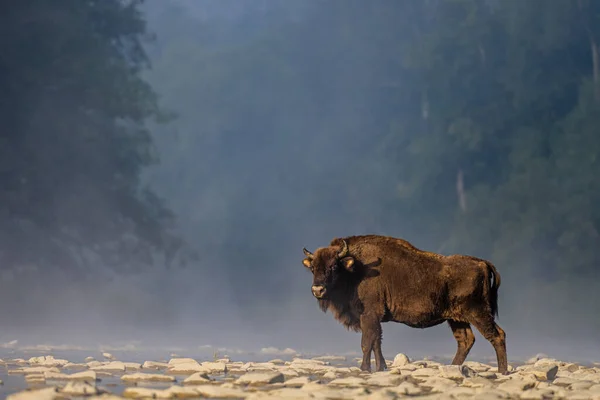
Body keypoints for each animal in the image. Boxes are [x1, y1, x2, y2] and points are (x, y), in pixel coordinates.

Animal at [300, 234, 506, 376]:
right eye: (313, 268)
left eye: (334, 266)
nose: (318, 289)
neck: (355, 268)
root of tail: (481, 263)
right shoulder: (375, 319)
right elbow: (377, 342)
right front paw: (381, 367)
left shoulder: (369, 315)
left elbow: (367, 342)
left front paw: (364, 368)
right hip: (456, 319)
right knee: (465, 340)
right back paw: (454, 367)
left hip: (478, 313)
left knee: (497, 335)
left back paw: (502, 371)